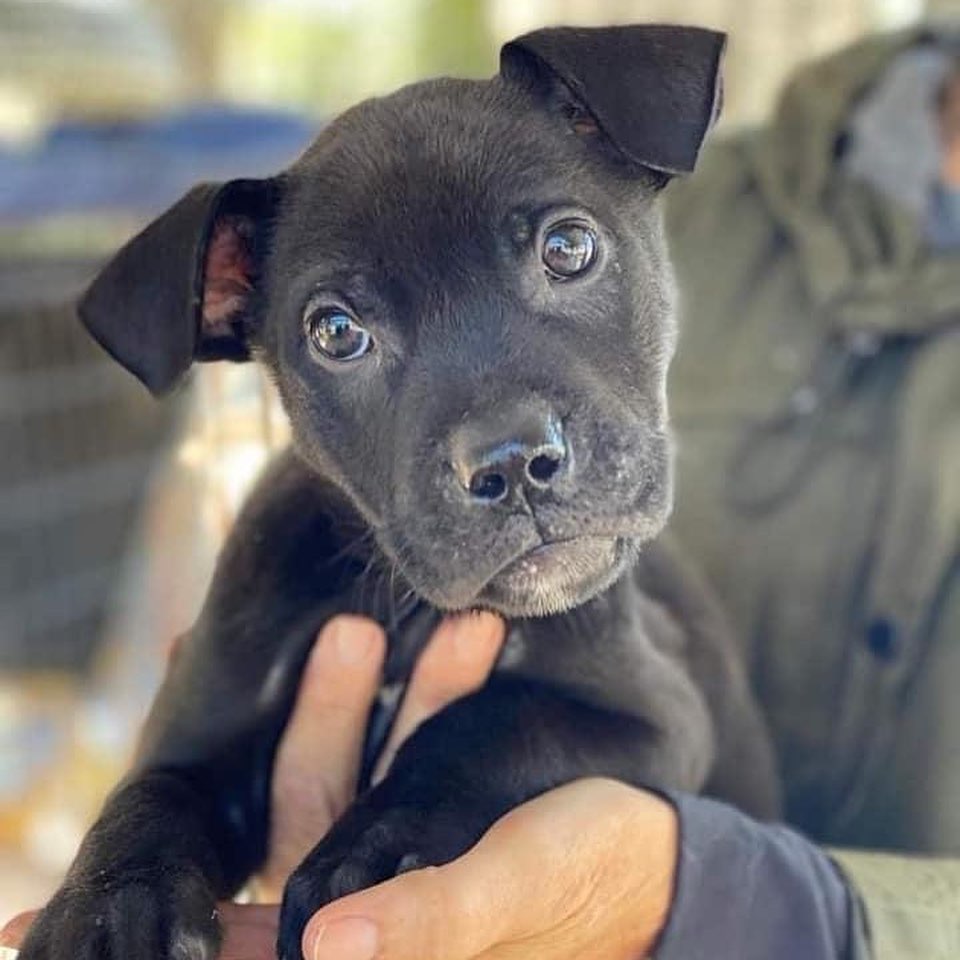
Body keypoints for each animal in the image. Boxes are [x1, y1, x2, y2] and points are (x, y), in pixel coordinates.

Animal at [24, 20, 780, 960]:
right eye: (336, 333)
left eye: (568, 249)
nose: (512, 461)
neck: (401, 609)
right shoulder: (203, 717)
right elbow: (149, 796)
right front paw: (106, 911)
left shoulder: (653, 710)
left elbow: (486, 723)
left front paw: (371, 853)